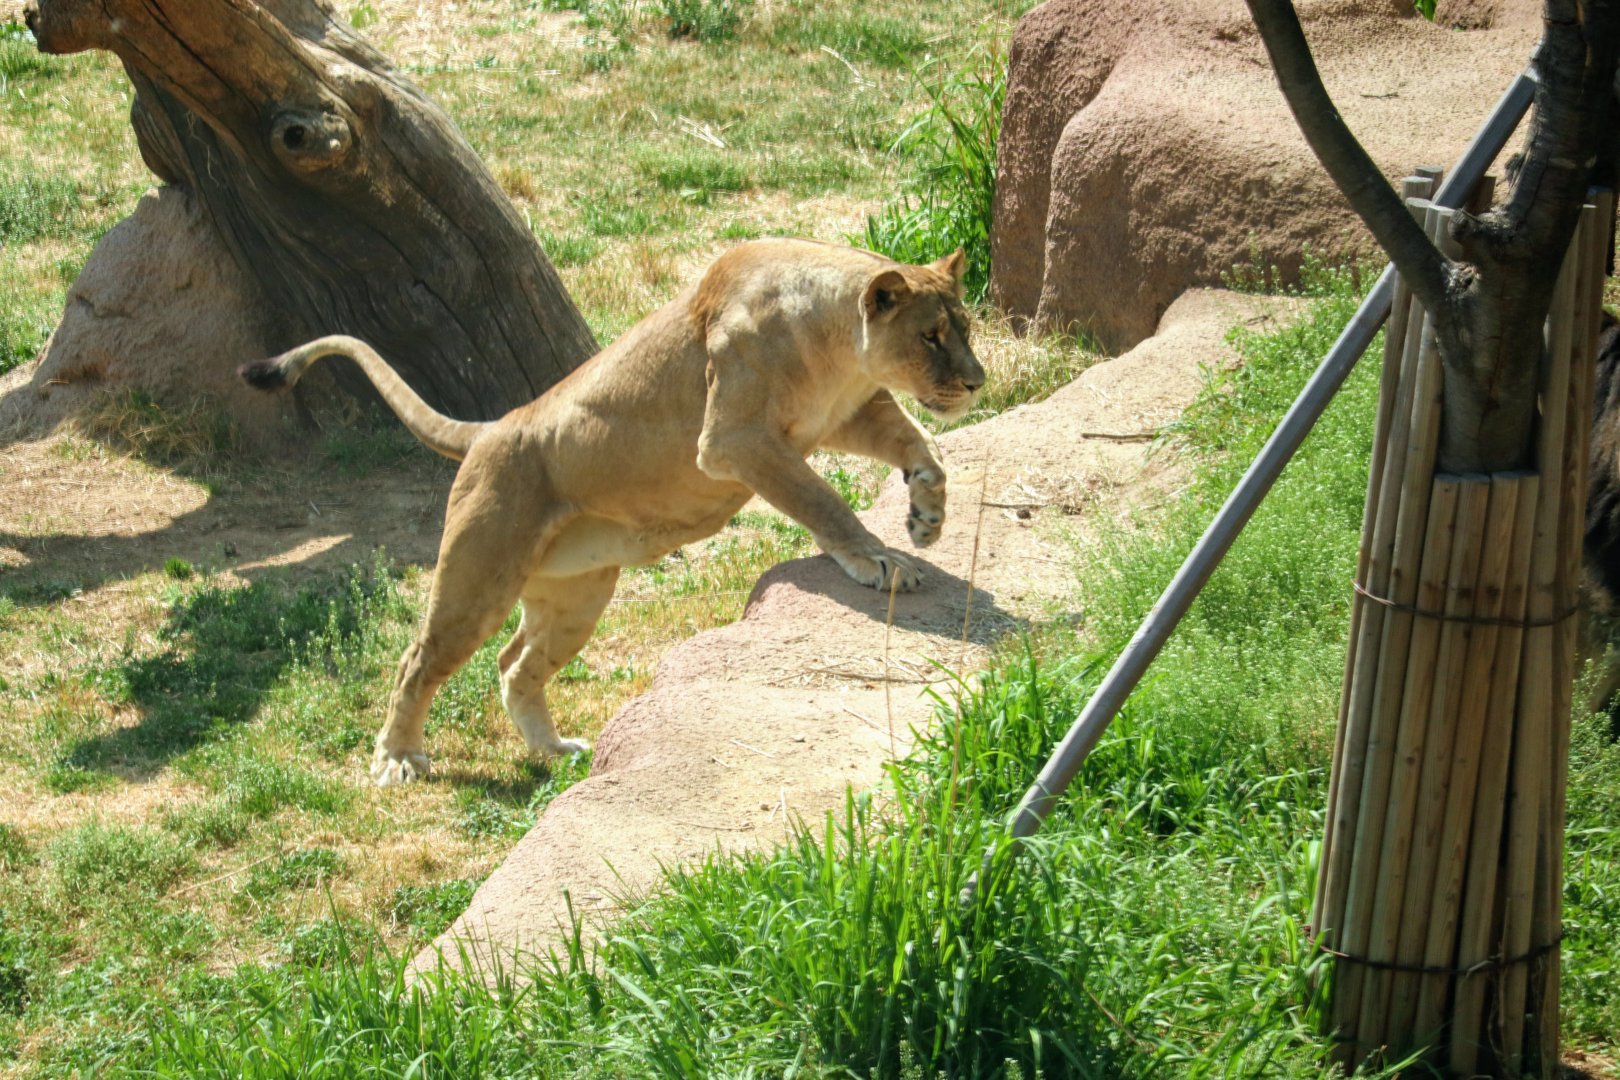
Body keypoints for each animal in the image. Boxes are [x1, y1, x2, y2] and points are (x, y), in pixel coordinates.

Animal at [241, 239, 985, 785]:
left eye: (966, 329)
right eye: (930, 336)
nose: (978, 382)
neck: (839, 346)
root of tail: (490, 428)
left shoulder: (848, 414)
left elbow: (920, 446)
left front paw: (928, 515)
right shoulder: (736, 440)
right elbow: (822, 500)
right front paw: (879, 558)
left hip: (578, 598)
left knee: (515, 664)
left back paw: (555, 751)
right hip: (477, 577)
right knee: (417, 660)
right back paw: (399, 758)